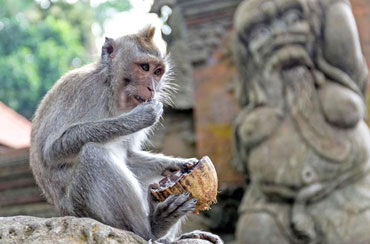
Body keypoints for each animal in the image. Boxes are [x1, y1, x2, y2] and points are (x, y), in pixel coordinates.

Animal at [29, 25, 223, 243]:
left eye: (157, 72)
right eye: (144, 67)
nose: (152, 88)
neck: (111, 90)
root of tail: (63, 213)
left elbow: (129, 156)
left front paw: (179, 165)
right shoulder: (84, 89)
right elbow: (52, 151)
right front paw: (140, 117)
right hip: (81, 209)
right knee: (94, 155)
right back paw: (153, 227)